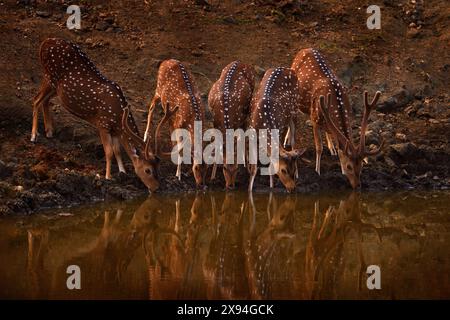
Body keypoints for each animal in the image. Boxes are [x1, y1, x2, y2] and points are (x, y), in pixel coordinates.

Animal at [32, 38, 162, 192]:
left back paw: (49, 132)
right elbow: (109, 151)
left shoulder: (115, 130)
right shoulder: (103, 124)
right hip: (49, 76)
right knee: (36, 100)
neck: (118, 116)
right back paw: (34, 136)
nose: (156, 188)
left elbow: (117, 151)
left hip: (55, 87)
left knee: (44, 101)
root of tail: (45, 42)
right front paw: (108, 177)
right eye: (148, 170)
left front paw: (122, 172)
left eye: (157, 168)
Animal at [148, 59, 207, 188]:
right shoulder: (179, 125)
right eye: (196, 167)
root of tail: (166, 61)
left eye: (207, 168)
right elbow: (180, 151)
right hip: (158, 89)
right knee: (151, 107)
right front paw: (178, 175)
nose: (201, 184)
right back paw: (145, 136)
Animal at [208, 61, 255, 189]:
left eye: (236, 169)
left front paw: (247, 168)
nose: (230, 186)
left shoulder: (239, 121)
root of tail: (239, 62)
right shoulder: (215, 123)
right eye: (224, 168)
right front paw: (212, 177)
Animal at [292, 48, 384, 189]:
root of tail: (305, 49)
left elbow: (339, 144)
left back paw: (332, 148)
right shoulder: (314, 117)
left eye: (361, 166)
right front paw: (317, 171)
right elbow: (319, 147)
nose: (357, 185)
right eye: (349, 166)